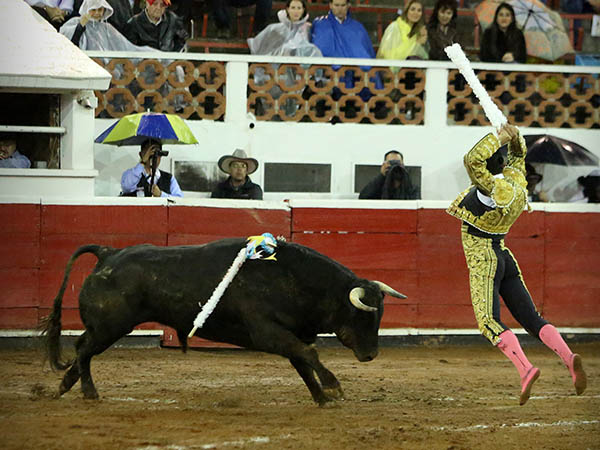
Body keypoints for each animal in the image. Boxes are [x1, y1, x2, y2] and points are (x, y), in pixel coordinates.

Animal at [42, 238, 406, 405]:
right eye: (362, 314)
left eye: (380, 314)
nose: (371, 355)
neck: (297, 280)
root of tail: (108, 253)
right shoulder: (267, 333)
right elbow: (310, 356)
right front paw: (333, 387)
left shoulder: (290, 335)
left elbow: (303, 362)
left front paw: (321, 398)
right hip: (111, 326)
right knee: (84, 349)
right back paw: (88, 392)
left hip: (107, 327)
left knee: (82, 349)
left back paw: (61, 388)